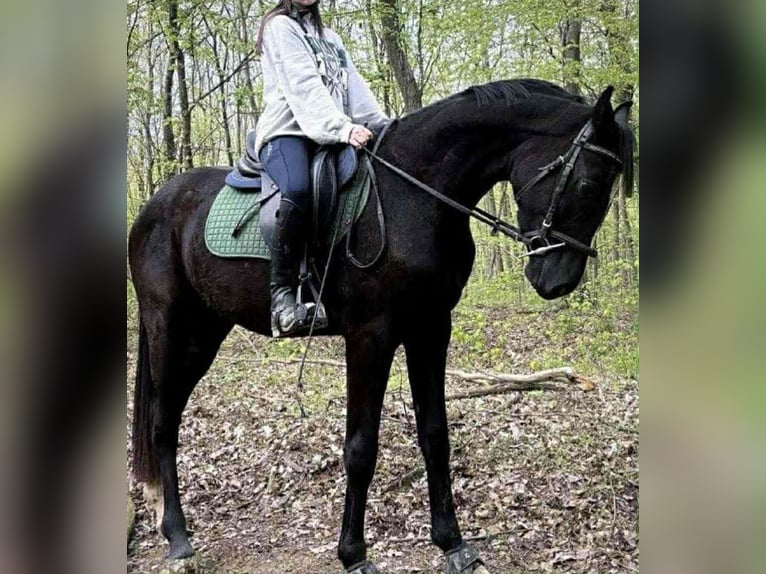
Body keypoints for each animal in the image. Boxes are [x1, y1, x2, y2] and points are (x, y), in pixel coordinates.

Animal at [129, 78, 634, 574]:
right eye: (588, 182)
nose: (558, 280)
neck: (415, 196)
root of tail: (152, 208)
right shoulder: (371, 336)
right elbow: (360, 449)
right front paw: (354, 555)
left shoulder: (431, 327)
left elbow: (435, 435)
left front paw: (452, 544)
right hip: (169, 327)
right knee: (162, 423)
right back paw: (177, 537)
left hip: (204, 333)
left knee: (169, 417)